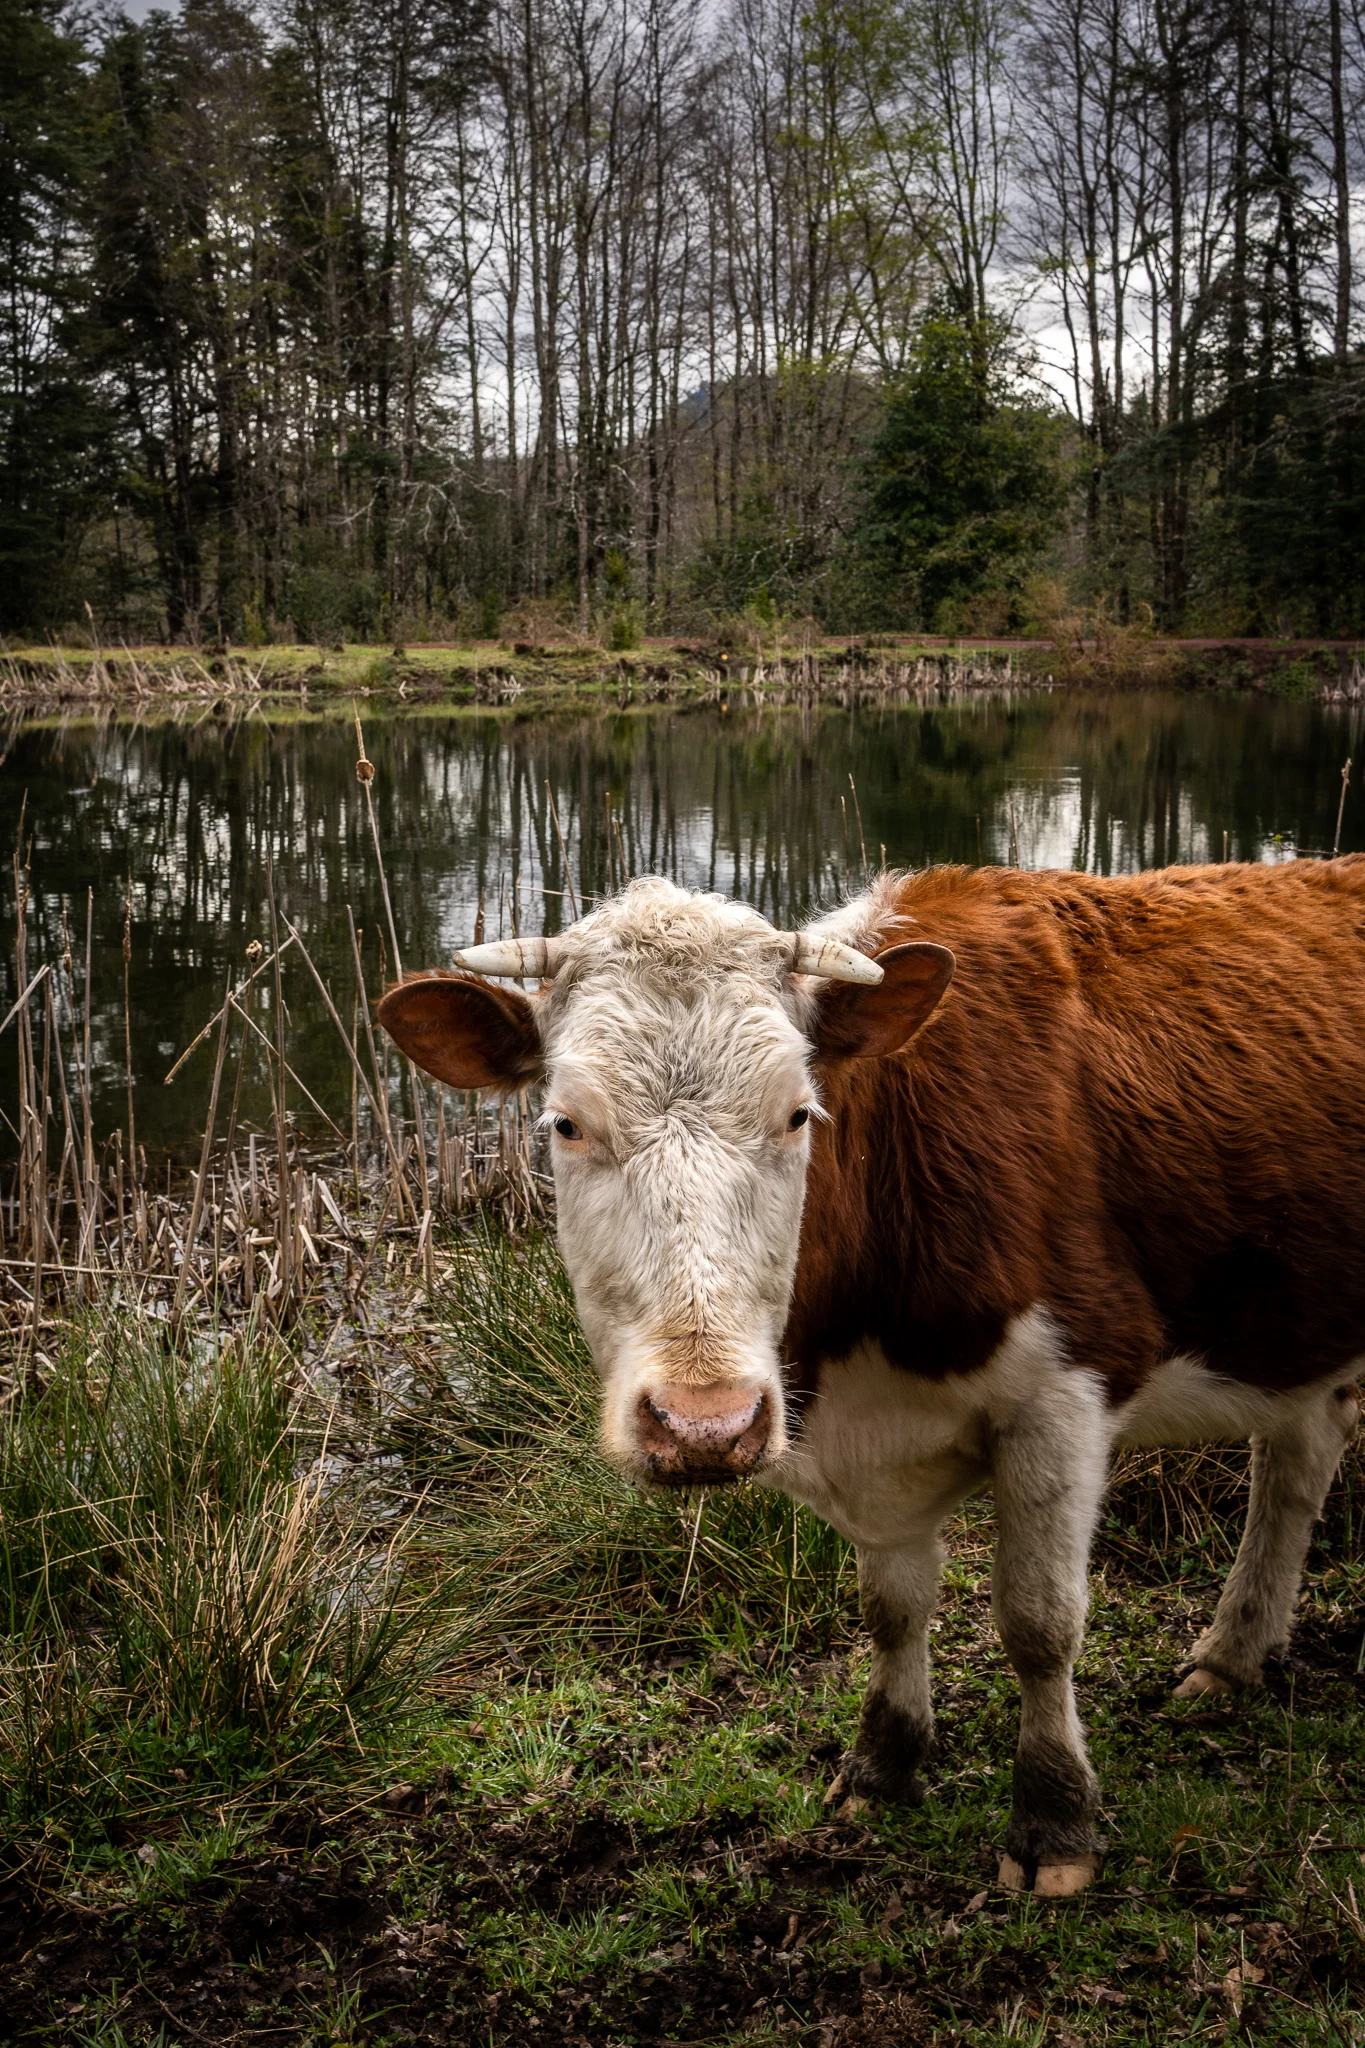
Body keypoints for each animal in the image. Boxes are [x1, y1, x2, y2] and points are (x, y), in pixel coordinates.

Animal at [378, 864, 1365, 1900]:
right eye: (565, 1123)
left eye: (797, 1114)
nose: (703, 1424)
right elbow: (890, 1608)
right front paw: (881, 1767)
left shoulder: (1065, 1394)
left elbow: (1039, 1623)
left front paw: (1053, 1820)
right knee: (1298, 1459)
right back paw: (1232, 1654)